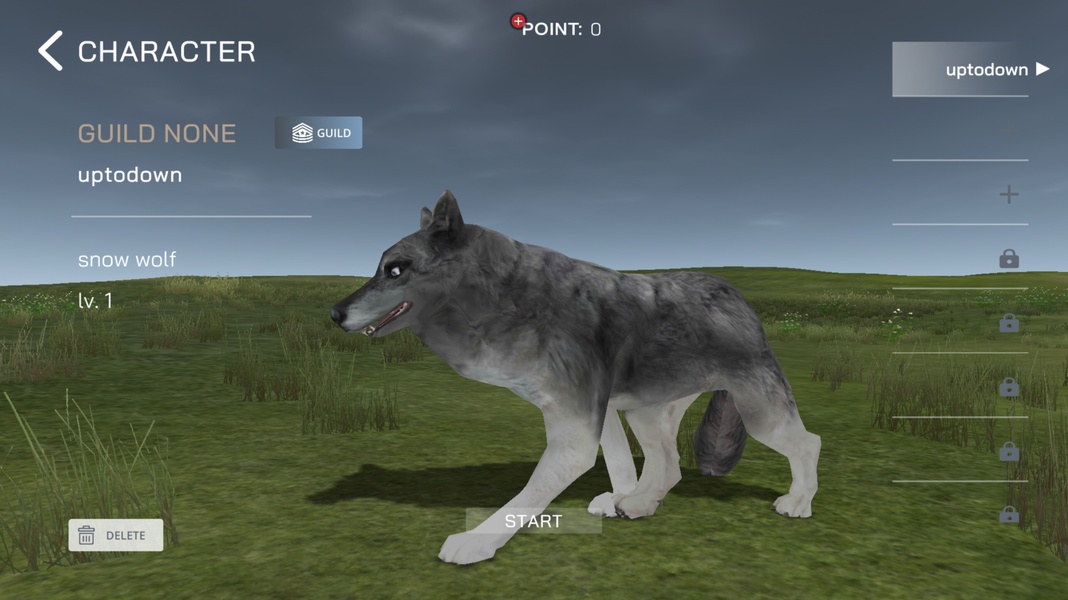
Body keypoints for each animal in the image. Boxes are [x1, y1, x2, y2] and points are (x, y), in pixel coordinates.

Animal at [330, 190, 821, 565]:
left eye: (396, 269)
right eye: (380, 268)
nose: (334, 314)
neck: (503, 299)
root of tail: (737, 295)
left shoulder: (576, 427)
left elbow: (527, 496)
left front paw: (475, 542)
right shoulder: (598, 411)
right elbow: (621, 463)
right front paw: (620, 498)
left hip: (758, 415)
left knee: (808, 442)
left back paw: (798, 503)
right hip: (647, 414)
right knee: (668, 463)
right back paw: (641, 504)